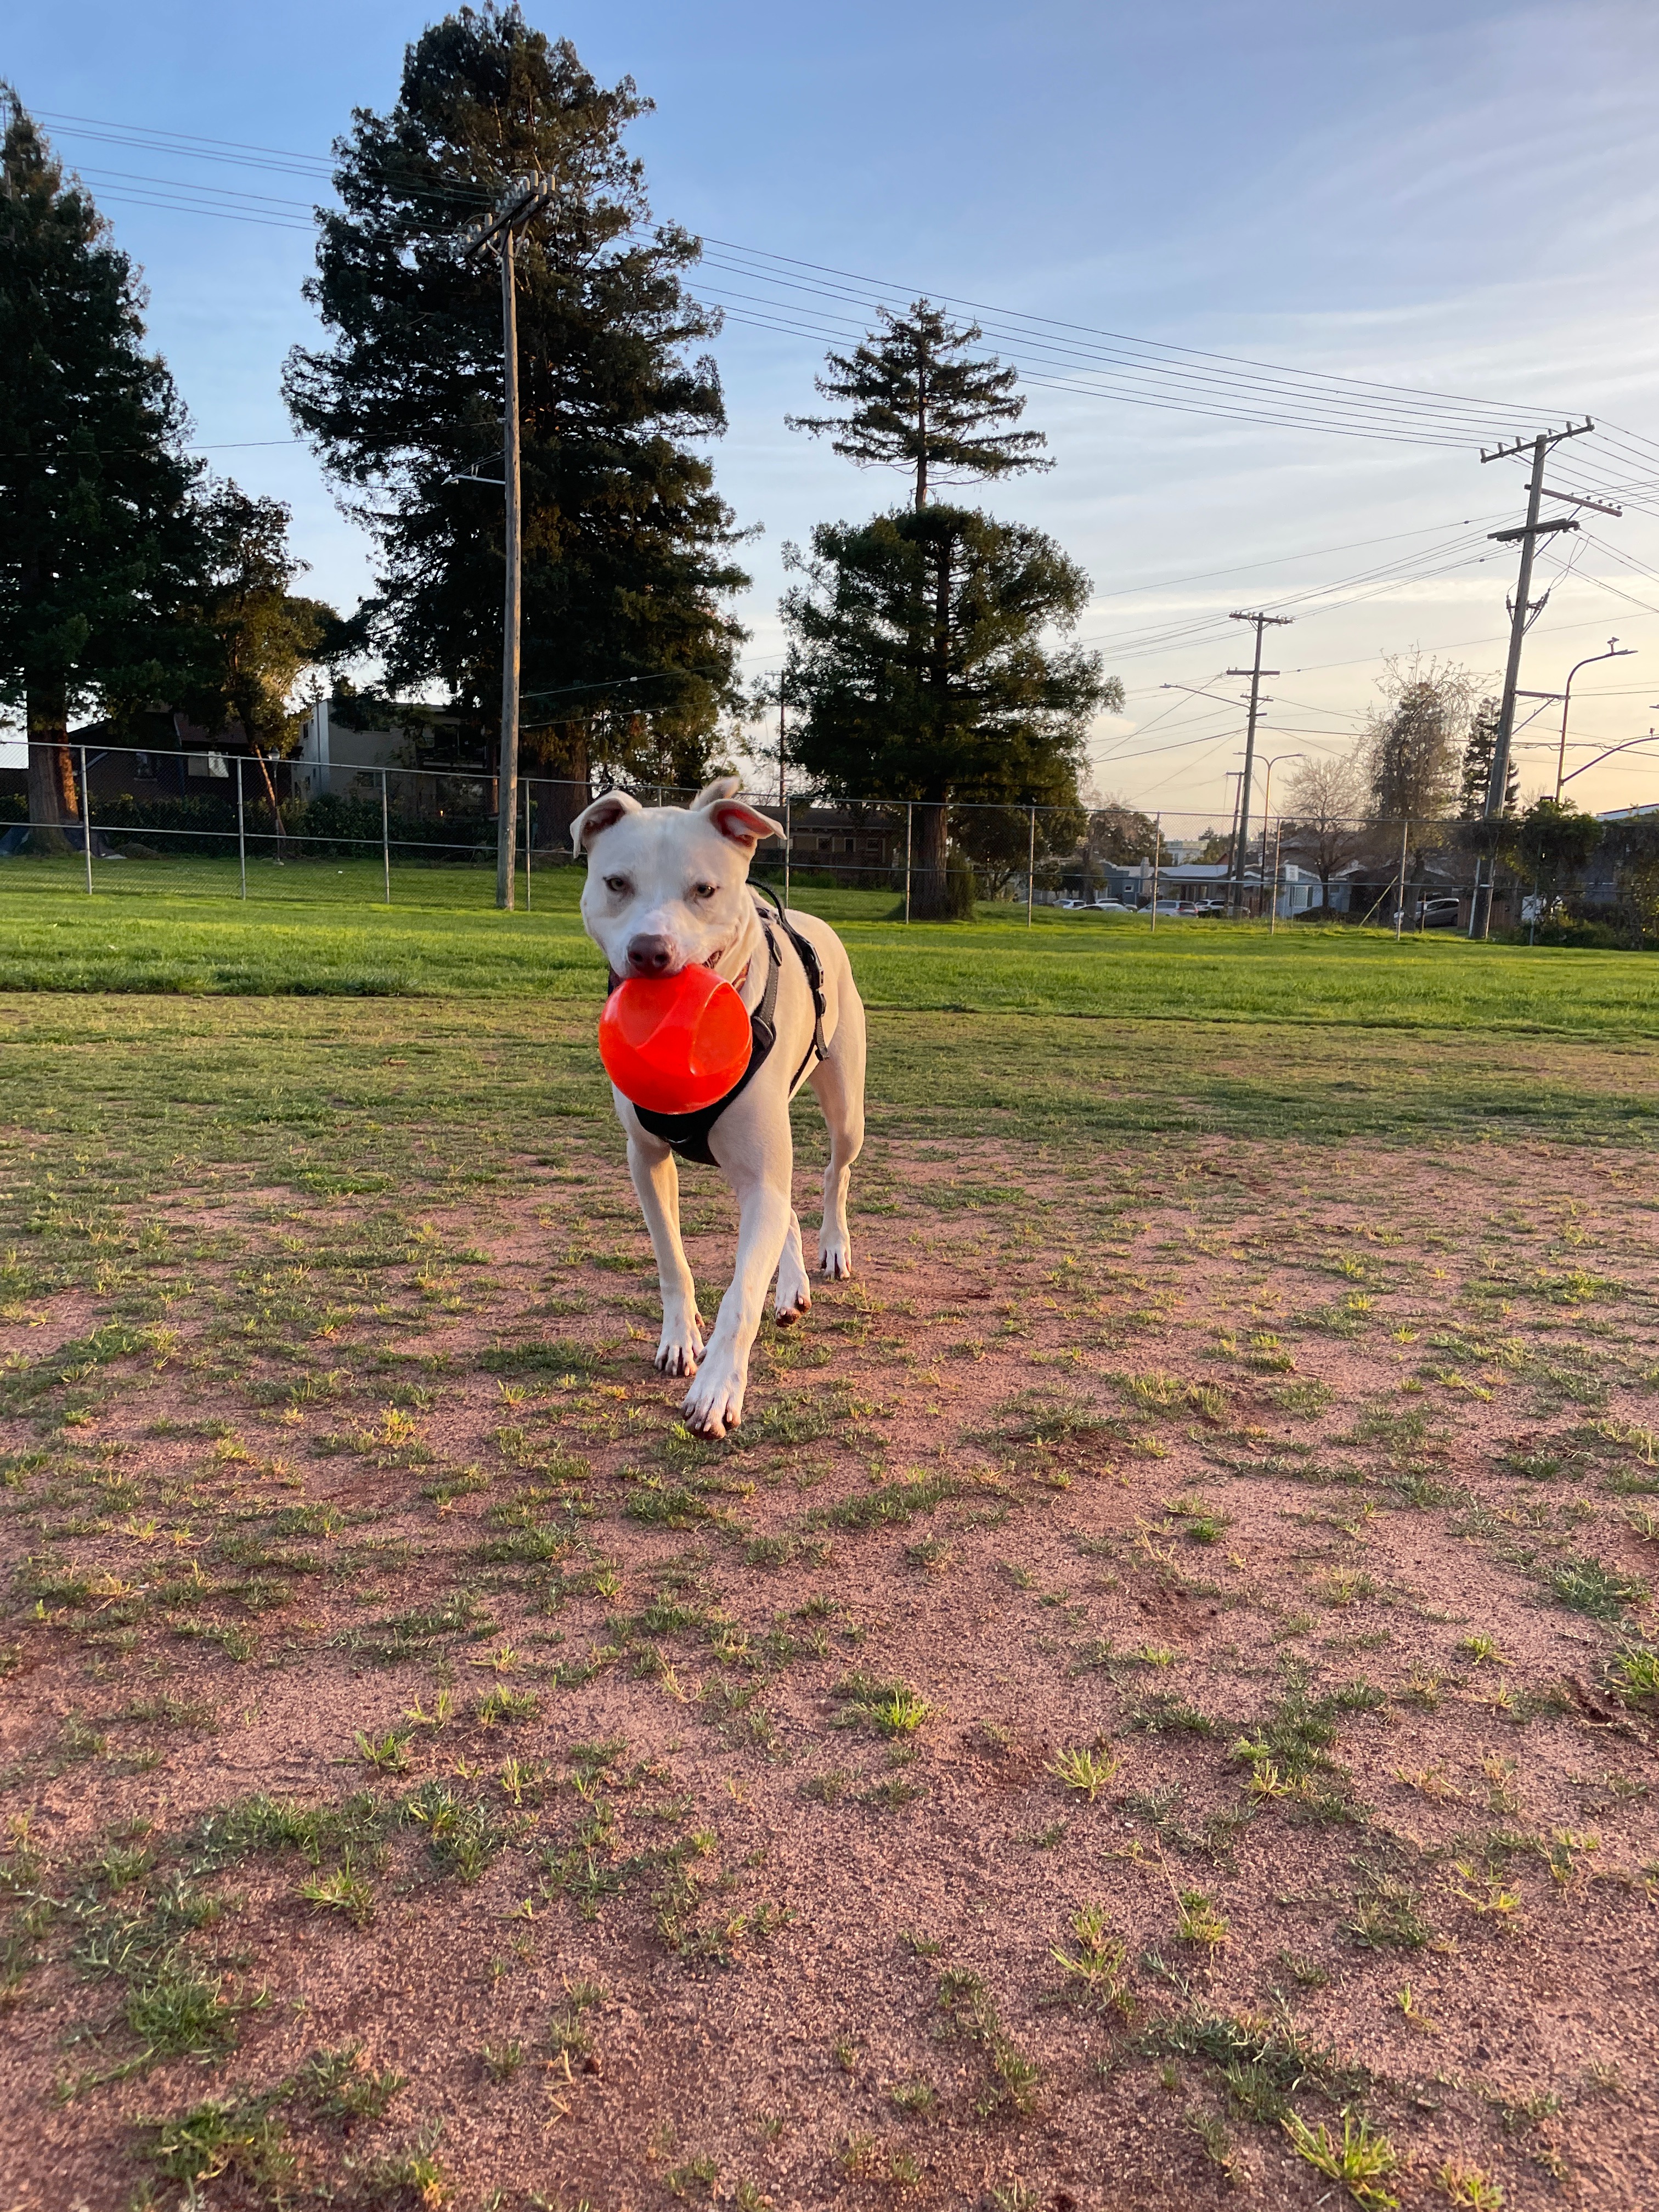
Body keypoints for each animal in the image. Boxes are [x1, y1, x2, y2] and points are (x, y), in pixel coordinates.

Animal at [571, 776, 867, 1440]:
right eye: (616, 883)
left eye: (704, 890)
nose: (650, 951)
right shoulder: (647, 1160)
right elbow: (672, 1260)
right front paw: (681, 1341)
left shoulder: (759, 1175)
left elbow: (740, 1296)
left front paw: (717, 1391)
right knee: (787, 1209)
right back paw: (791, 1290)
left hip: (846, 1110)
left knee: (833, 1174)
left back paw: (832, 1249)